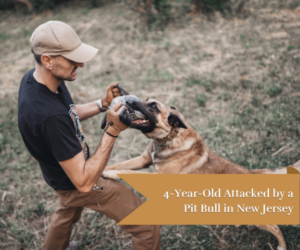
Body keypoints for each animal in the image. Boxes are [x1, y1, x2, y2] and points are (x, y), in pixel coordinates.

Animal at [102, 98, 300, 250]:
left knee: (275, 227)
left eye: (153, 106)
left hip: (261, 220)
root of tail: (251, 173)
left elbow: (125, 170)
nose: (128, 101)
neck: (169, 138)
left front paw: (109, 173)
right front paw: (102, 169)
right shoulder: (143, 160)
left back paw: (282, 246)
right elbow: (120, 165)